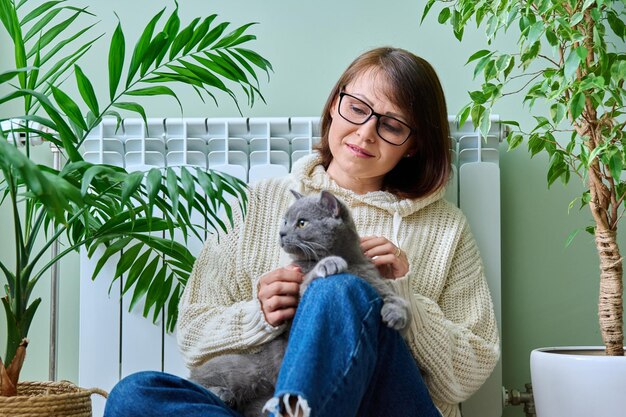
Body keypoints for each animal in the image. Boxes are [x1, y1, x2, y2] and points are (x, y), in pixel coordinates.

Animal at [188, 190, 408, 414]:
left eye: (302, 223)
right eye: (285, 221)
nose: (281, 233)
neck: (350, 261)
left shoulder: (374, 280)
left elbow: (395, 297)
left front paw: (396, 316)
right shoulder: (299, 289)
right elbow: (311, 277)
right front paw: (330, 263)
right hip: (241, 369)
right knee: (197, 380)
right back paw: (221, 392)